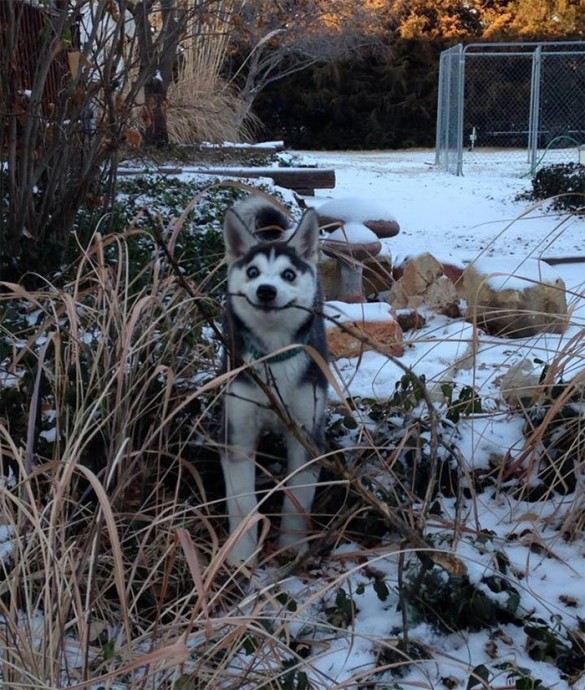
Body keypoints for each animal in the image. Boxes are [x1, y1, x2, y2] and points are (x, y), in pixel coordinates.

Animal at [221, 195, 328, 564]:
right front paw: (241, 556)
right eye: (253, 272)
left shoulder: (307, 434)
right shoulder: (237, 435)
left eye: (288, 274)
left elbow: (298, 496)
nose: (266, 291)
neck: (273, 357)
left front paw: (292, 546)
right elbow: (242, 501)